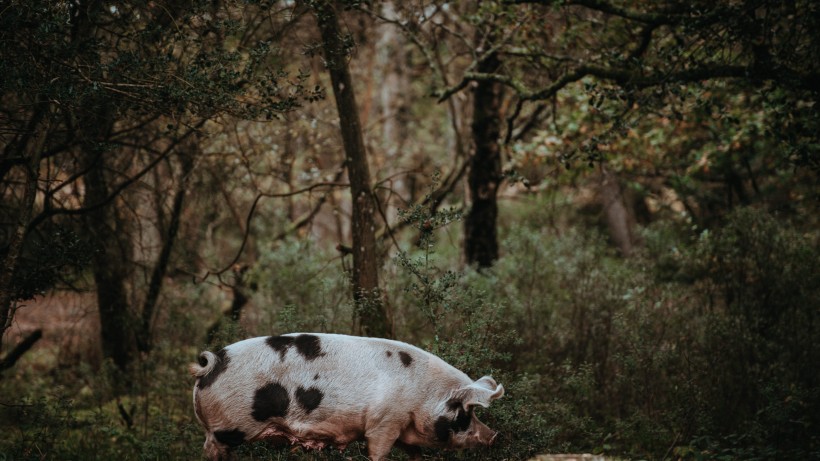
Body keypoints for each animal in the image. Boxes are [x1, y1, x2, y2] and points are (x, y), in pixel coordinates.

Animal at [189, 332, 502, 458]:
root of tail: (212, 363)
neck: (422, 395)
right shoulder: (384, 422)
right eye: (465, 412)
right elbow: (378, 451)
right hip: (226, 429)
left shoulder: (402, 428)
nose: (494, 436)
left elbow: (416, 454)